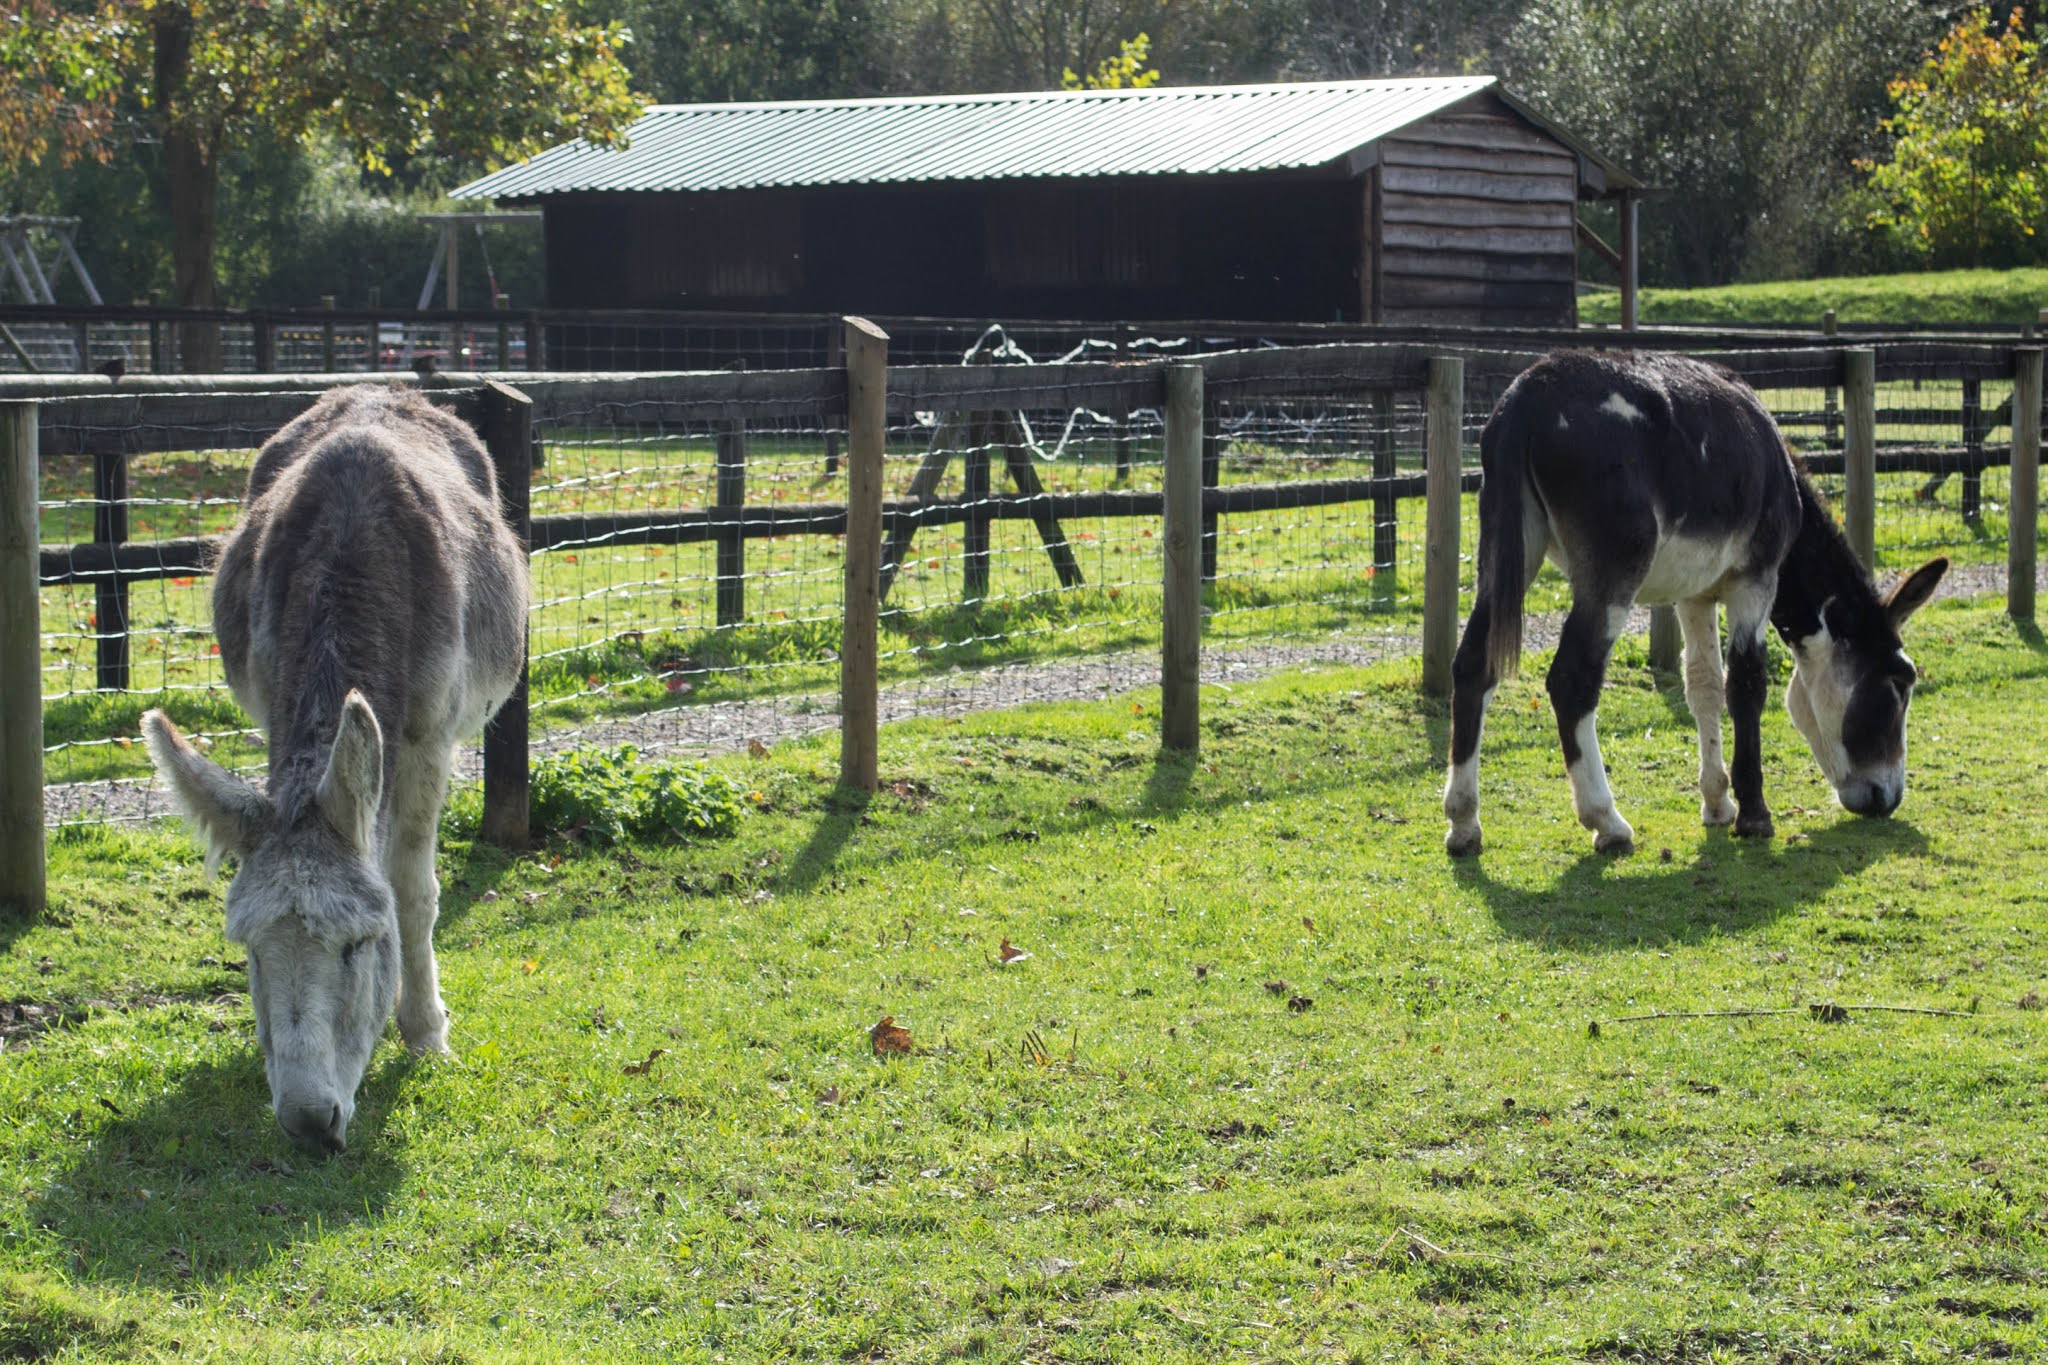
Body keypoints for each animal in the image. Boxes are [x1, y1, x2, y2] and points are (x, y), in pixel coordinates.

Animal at [143, 385, 528, 1152]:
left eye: (358, 946)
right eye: (250, 952)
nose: (308, 1122)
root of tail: (381, 390)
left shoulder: (429, 737)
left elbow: (413, 889)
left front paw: (425, 1032)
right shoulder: (271, 701)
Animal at [1442, 349, 1947, 858]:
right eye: (1900, 684)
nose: (1888, 799)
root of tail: (1530, 392)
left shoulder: (1695, 595)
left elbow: (1704, 687)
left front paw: (1718, 804)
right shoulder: (1756, 581)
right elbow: (1746, 686)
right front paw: (1754, 814)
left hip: (1509, 548)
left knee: (1473, 665)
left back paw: (1464, 820)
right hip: (1613, 569)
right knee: (1572, 678)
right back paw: (1606, 821)